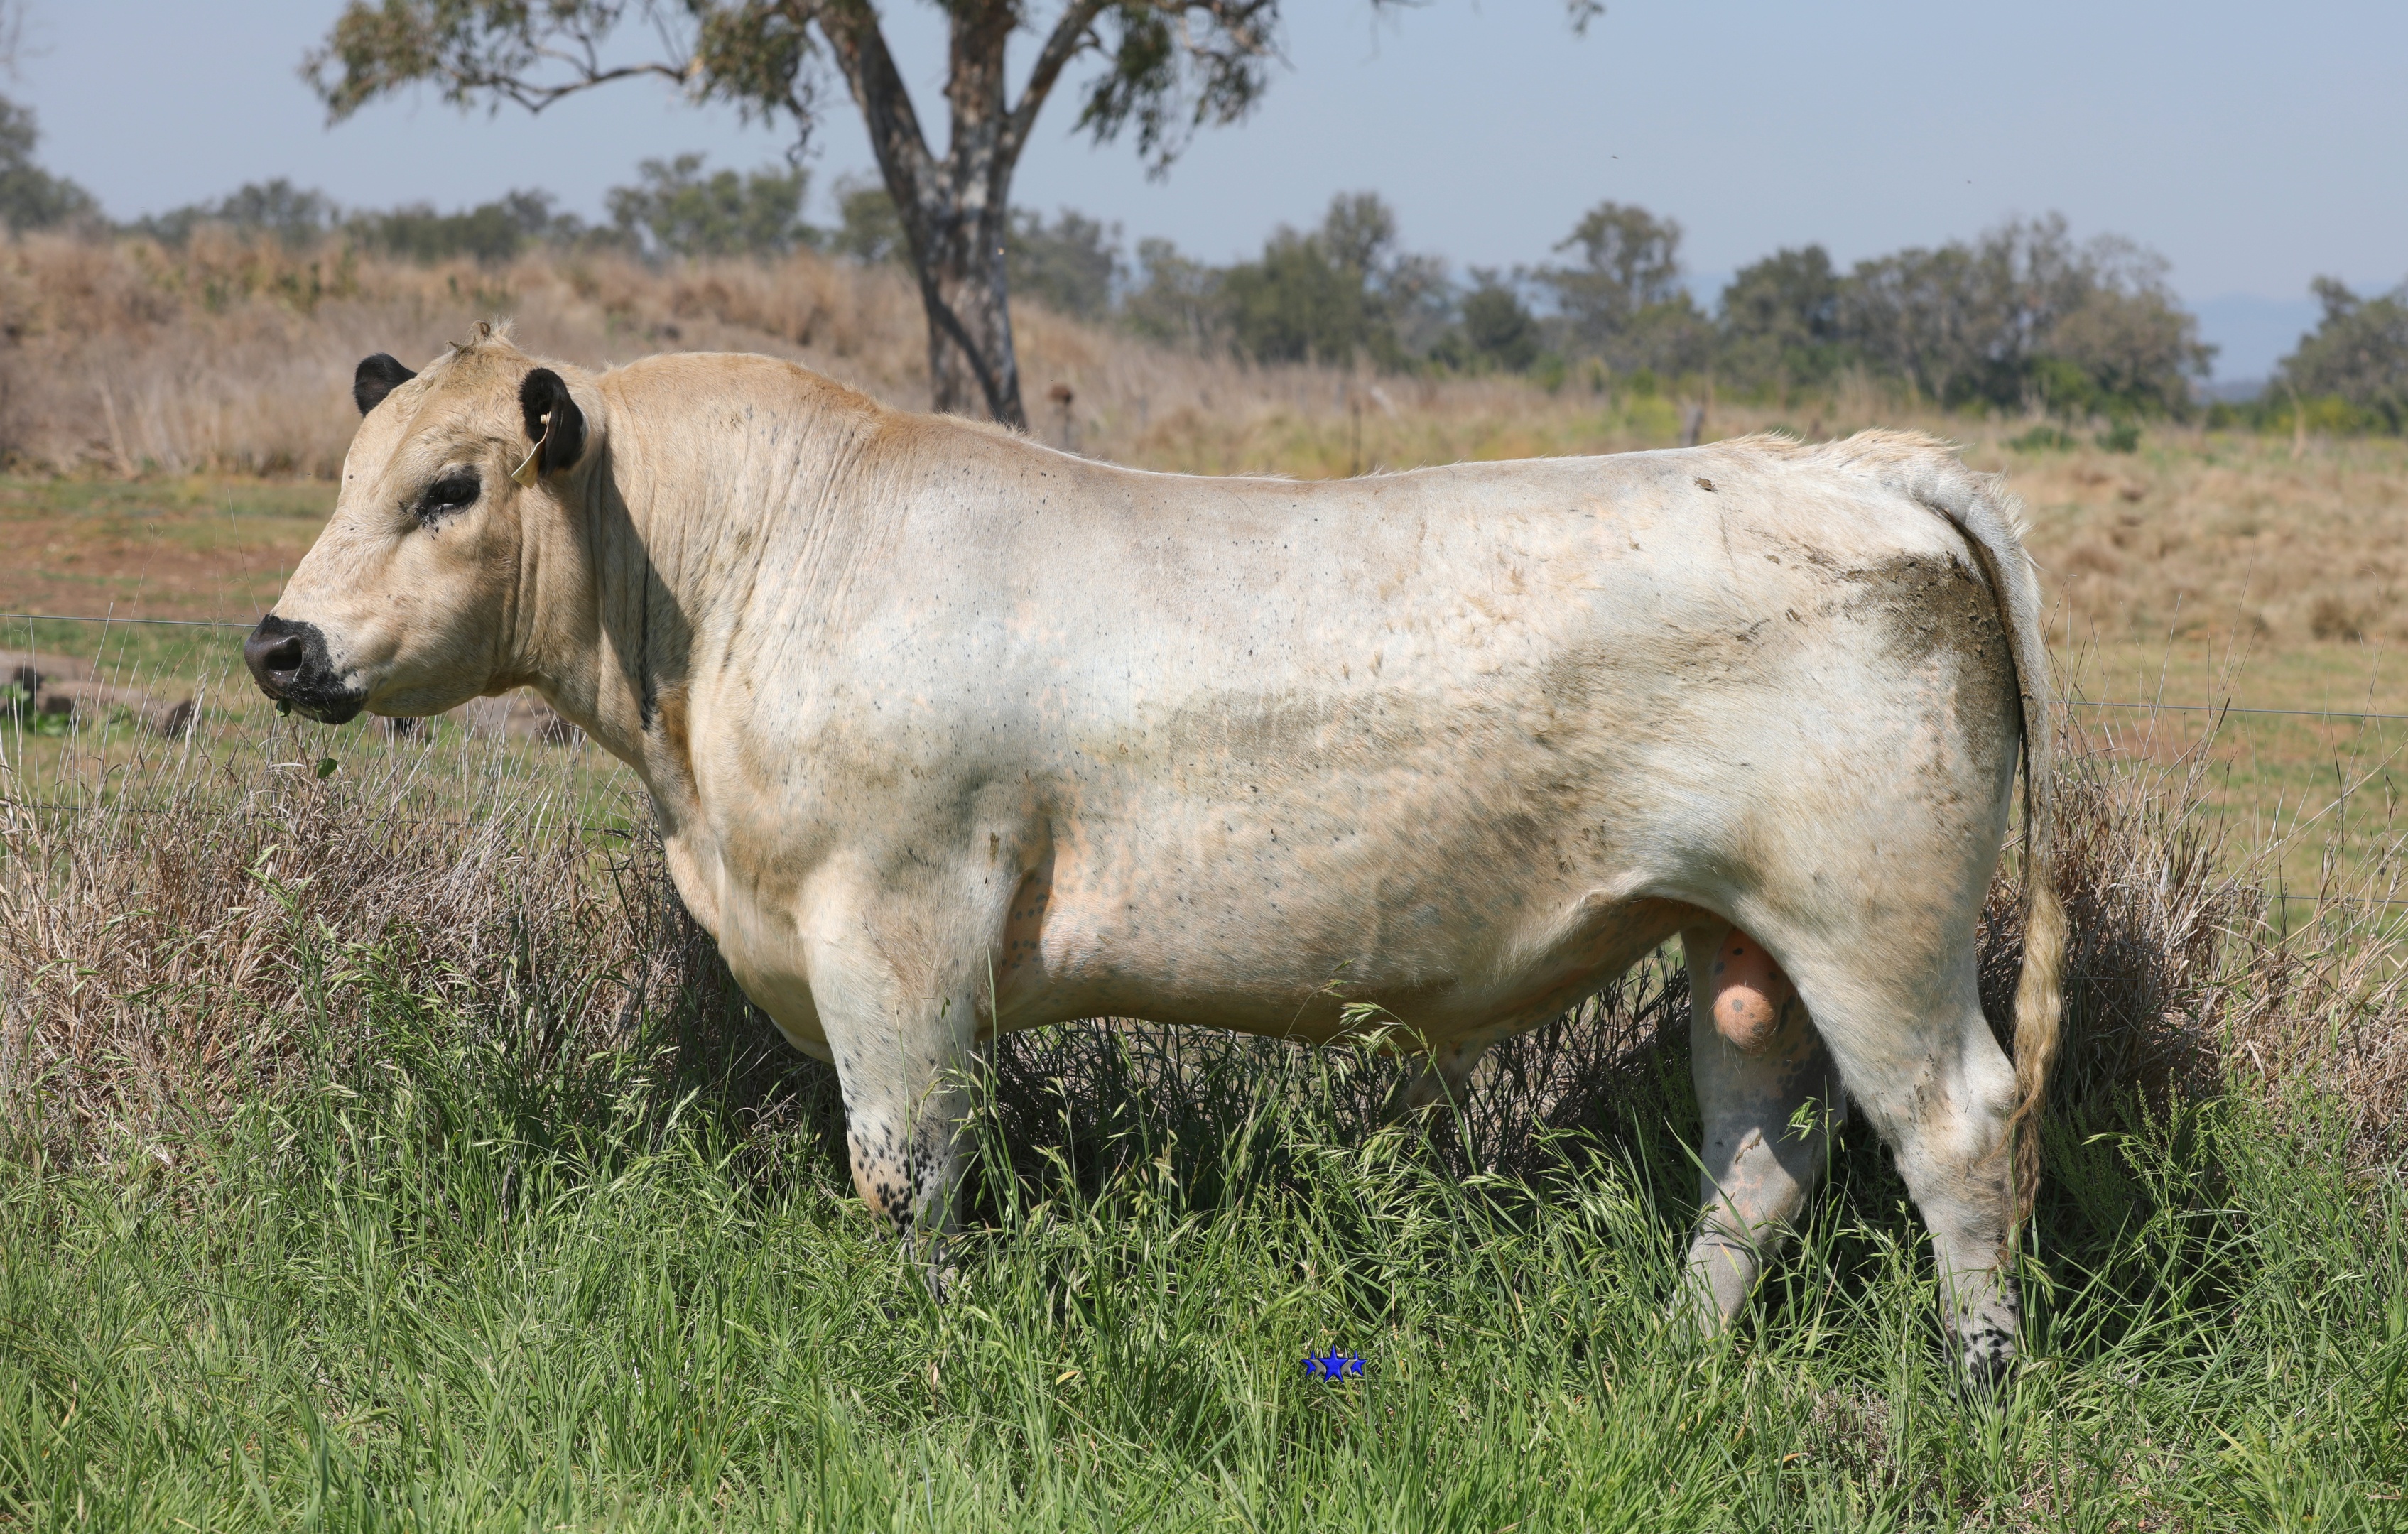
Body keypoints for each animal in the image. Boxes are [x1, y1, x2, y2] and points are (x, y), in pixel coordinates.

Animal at [245, 329, 2065, 1388]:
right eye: (346, 476)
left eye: (451, 485)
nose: (279, 642)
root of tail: (1840, 465)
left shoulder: (893, 923)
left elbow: (904, 1164)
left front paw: (920, 1354)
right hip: (1747, 941)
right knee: (1762, 1152)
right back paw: (1678, 1359)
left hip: (1874, 925)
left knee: (1958, 1127)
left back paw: (1974, 1382)